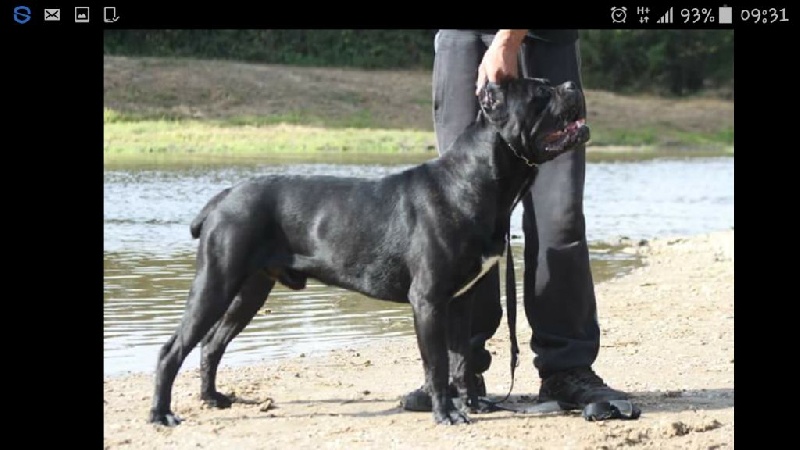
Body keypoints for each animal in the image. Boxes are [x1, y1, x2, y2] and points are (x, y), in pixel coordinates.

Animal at [148, 79, 588, 428]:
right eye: (540, 93)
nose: (571, 84)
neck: (474, 182)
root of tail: (223, 197)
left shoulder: (459, 301)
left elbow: (461, 361)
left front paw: (472, 405)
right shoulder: (428, 300)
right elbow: (438, 364)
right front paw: (446, 414)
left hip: (250, 290)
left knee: (212, 344)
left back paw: (212, 398)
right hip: (216, 282)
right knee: (173, 349)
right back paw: (161, 414)